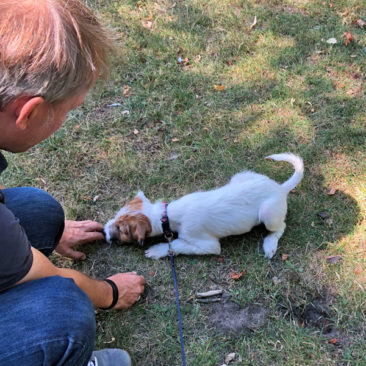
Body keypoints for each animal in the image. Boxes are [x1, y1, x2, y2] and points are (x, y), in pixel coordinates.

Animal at [103, 153, 304, 258]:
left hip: (268, 214)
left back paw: (269, 245)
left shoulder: (208, 245)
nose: (104, 232)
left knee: (280, 227)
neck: (166, 215)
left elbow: (176, 245)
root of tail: (280, 188)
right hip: (239, 177)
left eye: (121, 229)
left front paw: (157, 250)